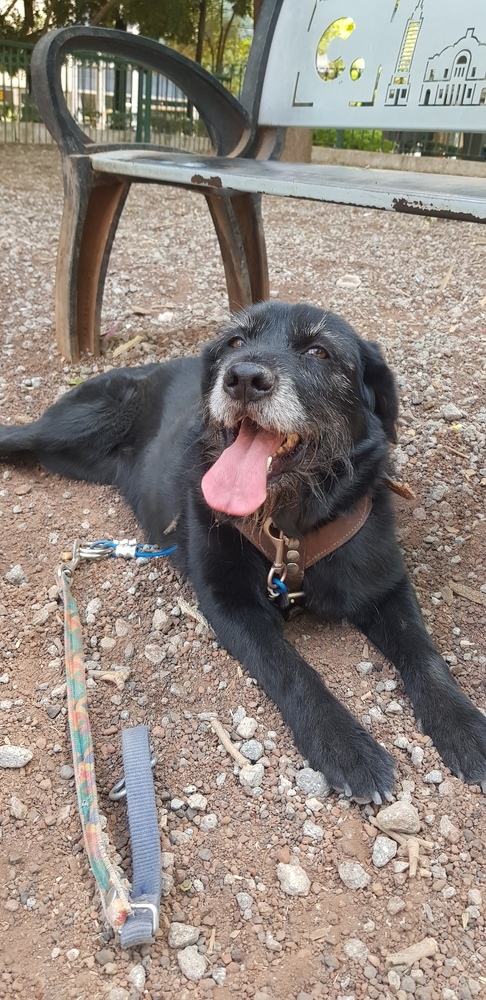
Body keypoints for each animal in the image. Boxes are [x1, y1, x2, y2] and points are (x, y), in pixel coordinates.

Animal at [1, 300, 484, 800]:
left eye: (319, 350)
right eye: (235, 342)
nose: (244, 378)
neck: (289, 531)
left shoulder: (386, 586)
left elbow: (425, 654)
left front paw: (465, 725)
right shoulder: (230, 604)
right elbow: (293, 669)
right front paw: (345, 744)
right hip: (73, 428)